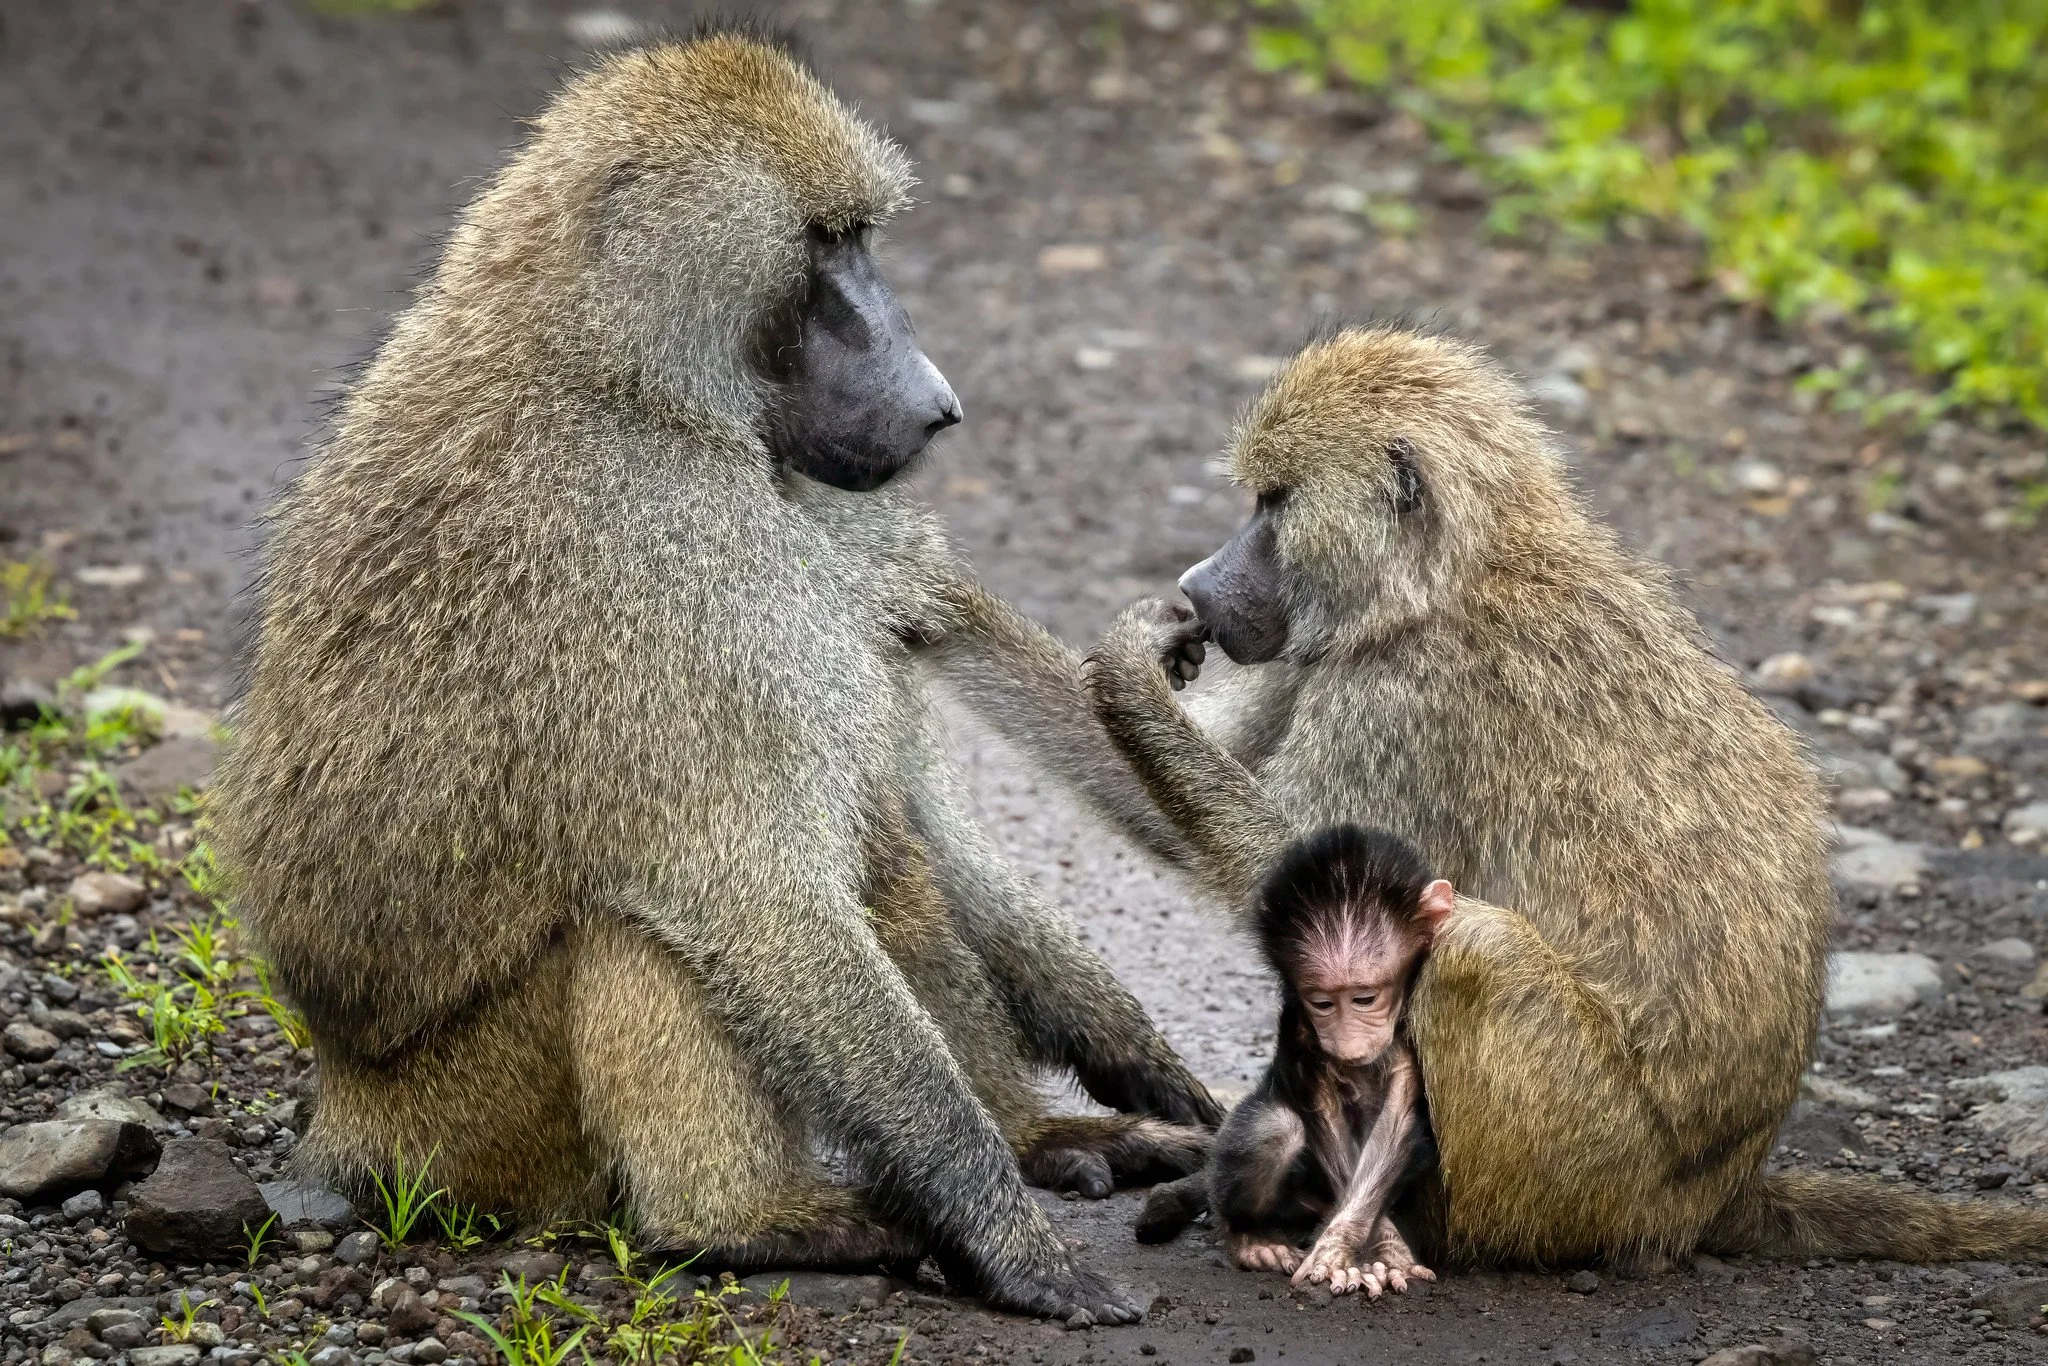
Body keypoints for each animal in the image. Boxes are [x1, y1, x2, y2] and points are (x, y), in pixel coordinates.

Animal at [208, 29, 1219, 1325]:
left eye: (859, 236)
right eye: (824, 246)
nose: (936, 404)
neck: (628, 378)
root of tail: (351, 1121)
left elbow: (909, 805)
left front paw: (1121, 1051)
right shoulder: (665, 565)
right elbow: (761, 901)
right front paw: (1010, 1239)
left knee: (880, 839)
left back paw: (1032, 1133)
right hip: (482, 1113)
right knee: (643, 925)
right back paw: (751, 1221)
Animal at [1138, 825, 1451, 1298]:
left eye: (1365, 999)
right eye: (1321, 1003)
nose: (1347, 1043)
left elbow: (1399, 1113)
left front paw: (1378, 1251)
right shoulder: (1300, 1025)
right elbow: (1322, 1113)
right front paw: (1366, 1252)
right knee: (1275, 1129)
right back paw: (1247, 1238)